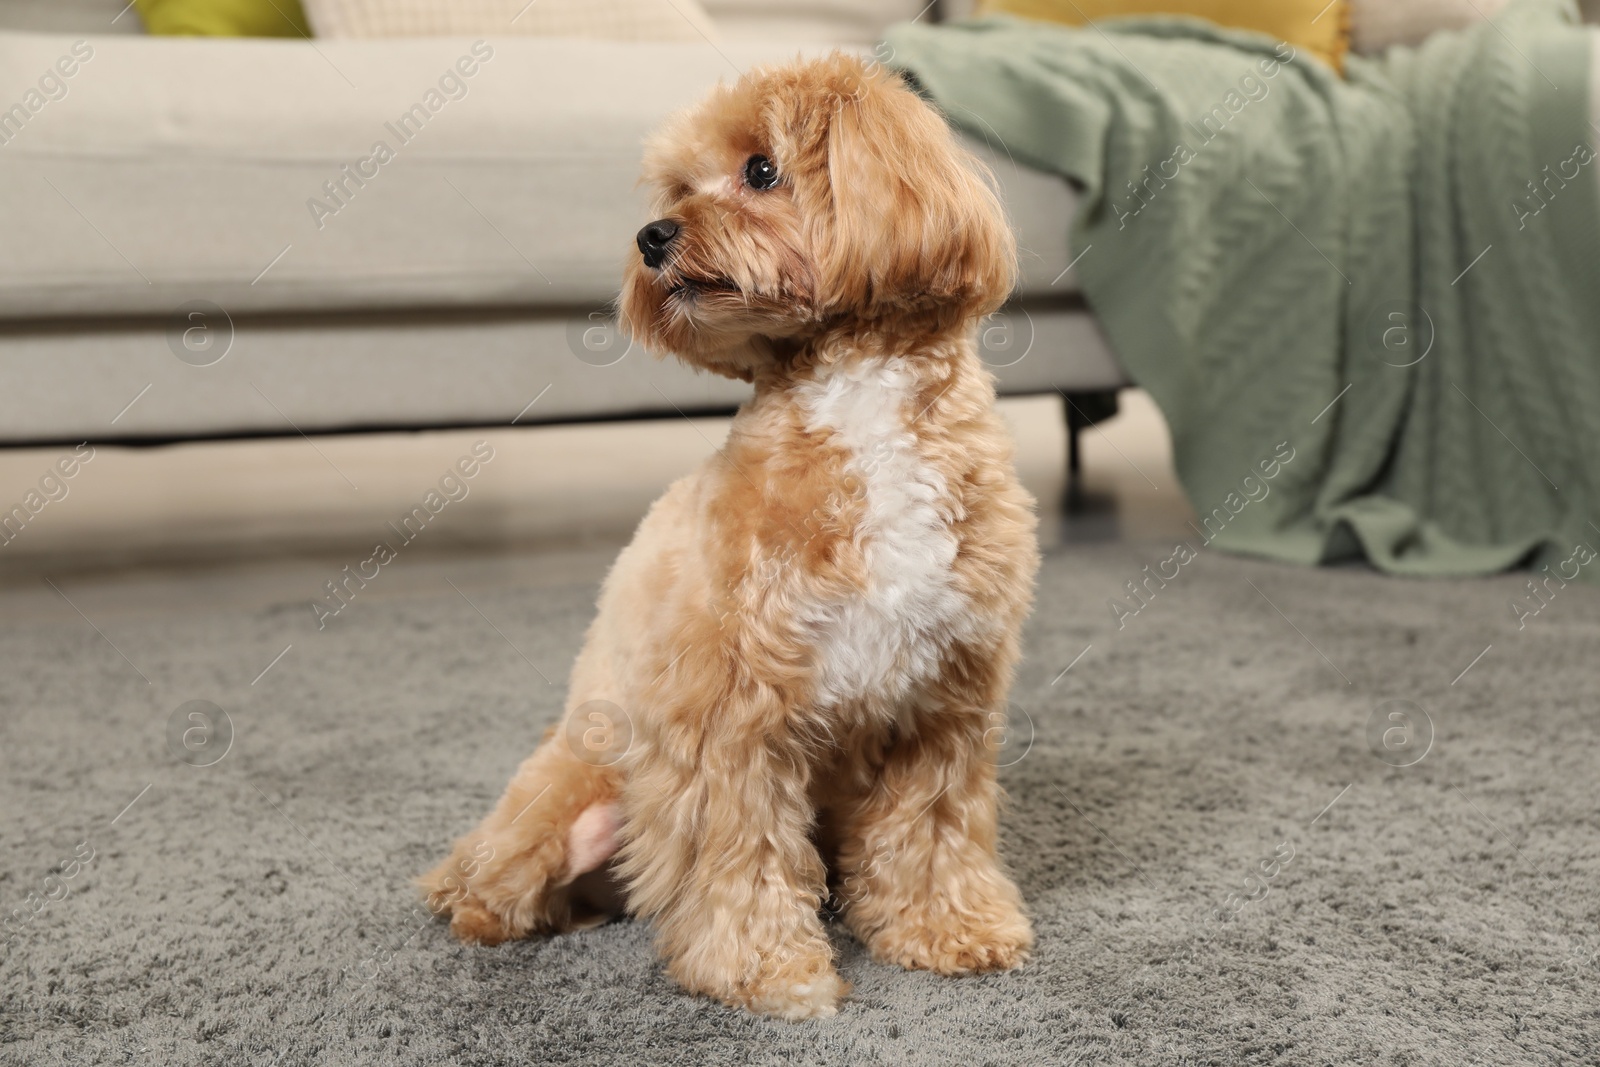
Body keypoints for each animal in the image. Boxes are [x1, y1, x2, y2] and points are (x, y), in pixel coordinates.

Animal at [425, 54, 1043, 1023]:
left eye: (761, 170)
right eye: (679, 187)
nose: (652, 236)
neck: (856, 403)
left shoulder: (942, 703)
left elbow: (931, 831)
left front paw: (948, 927)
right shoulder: (729, 715)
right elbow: (742, 857)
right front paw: (766, 970)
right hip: (570, 791)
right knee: (488, 883)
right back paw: (488, 901)